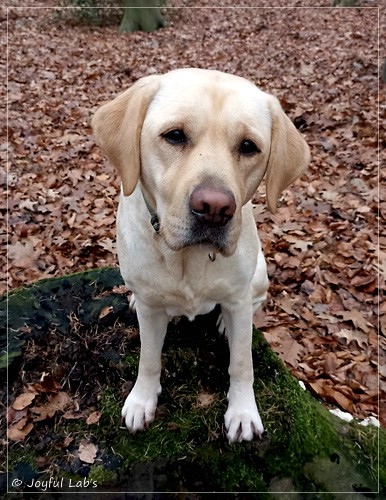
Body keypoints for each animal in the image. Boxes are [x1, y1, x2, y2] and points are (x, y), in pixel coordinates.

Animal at [91, 68, 310, 444]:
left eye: (248, 146)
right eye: (175, 136)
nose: (215, 208)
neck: (187, 259)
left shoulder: (238, 298)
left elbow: (242, 363)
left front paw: (243, 412)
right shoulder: (151, 311)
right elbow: (149, 358)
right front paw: (142, 400)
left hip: (259, 274)